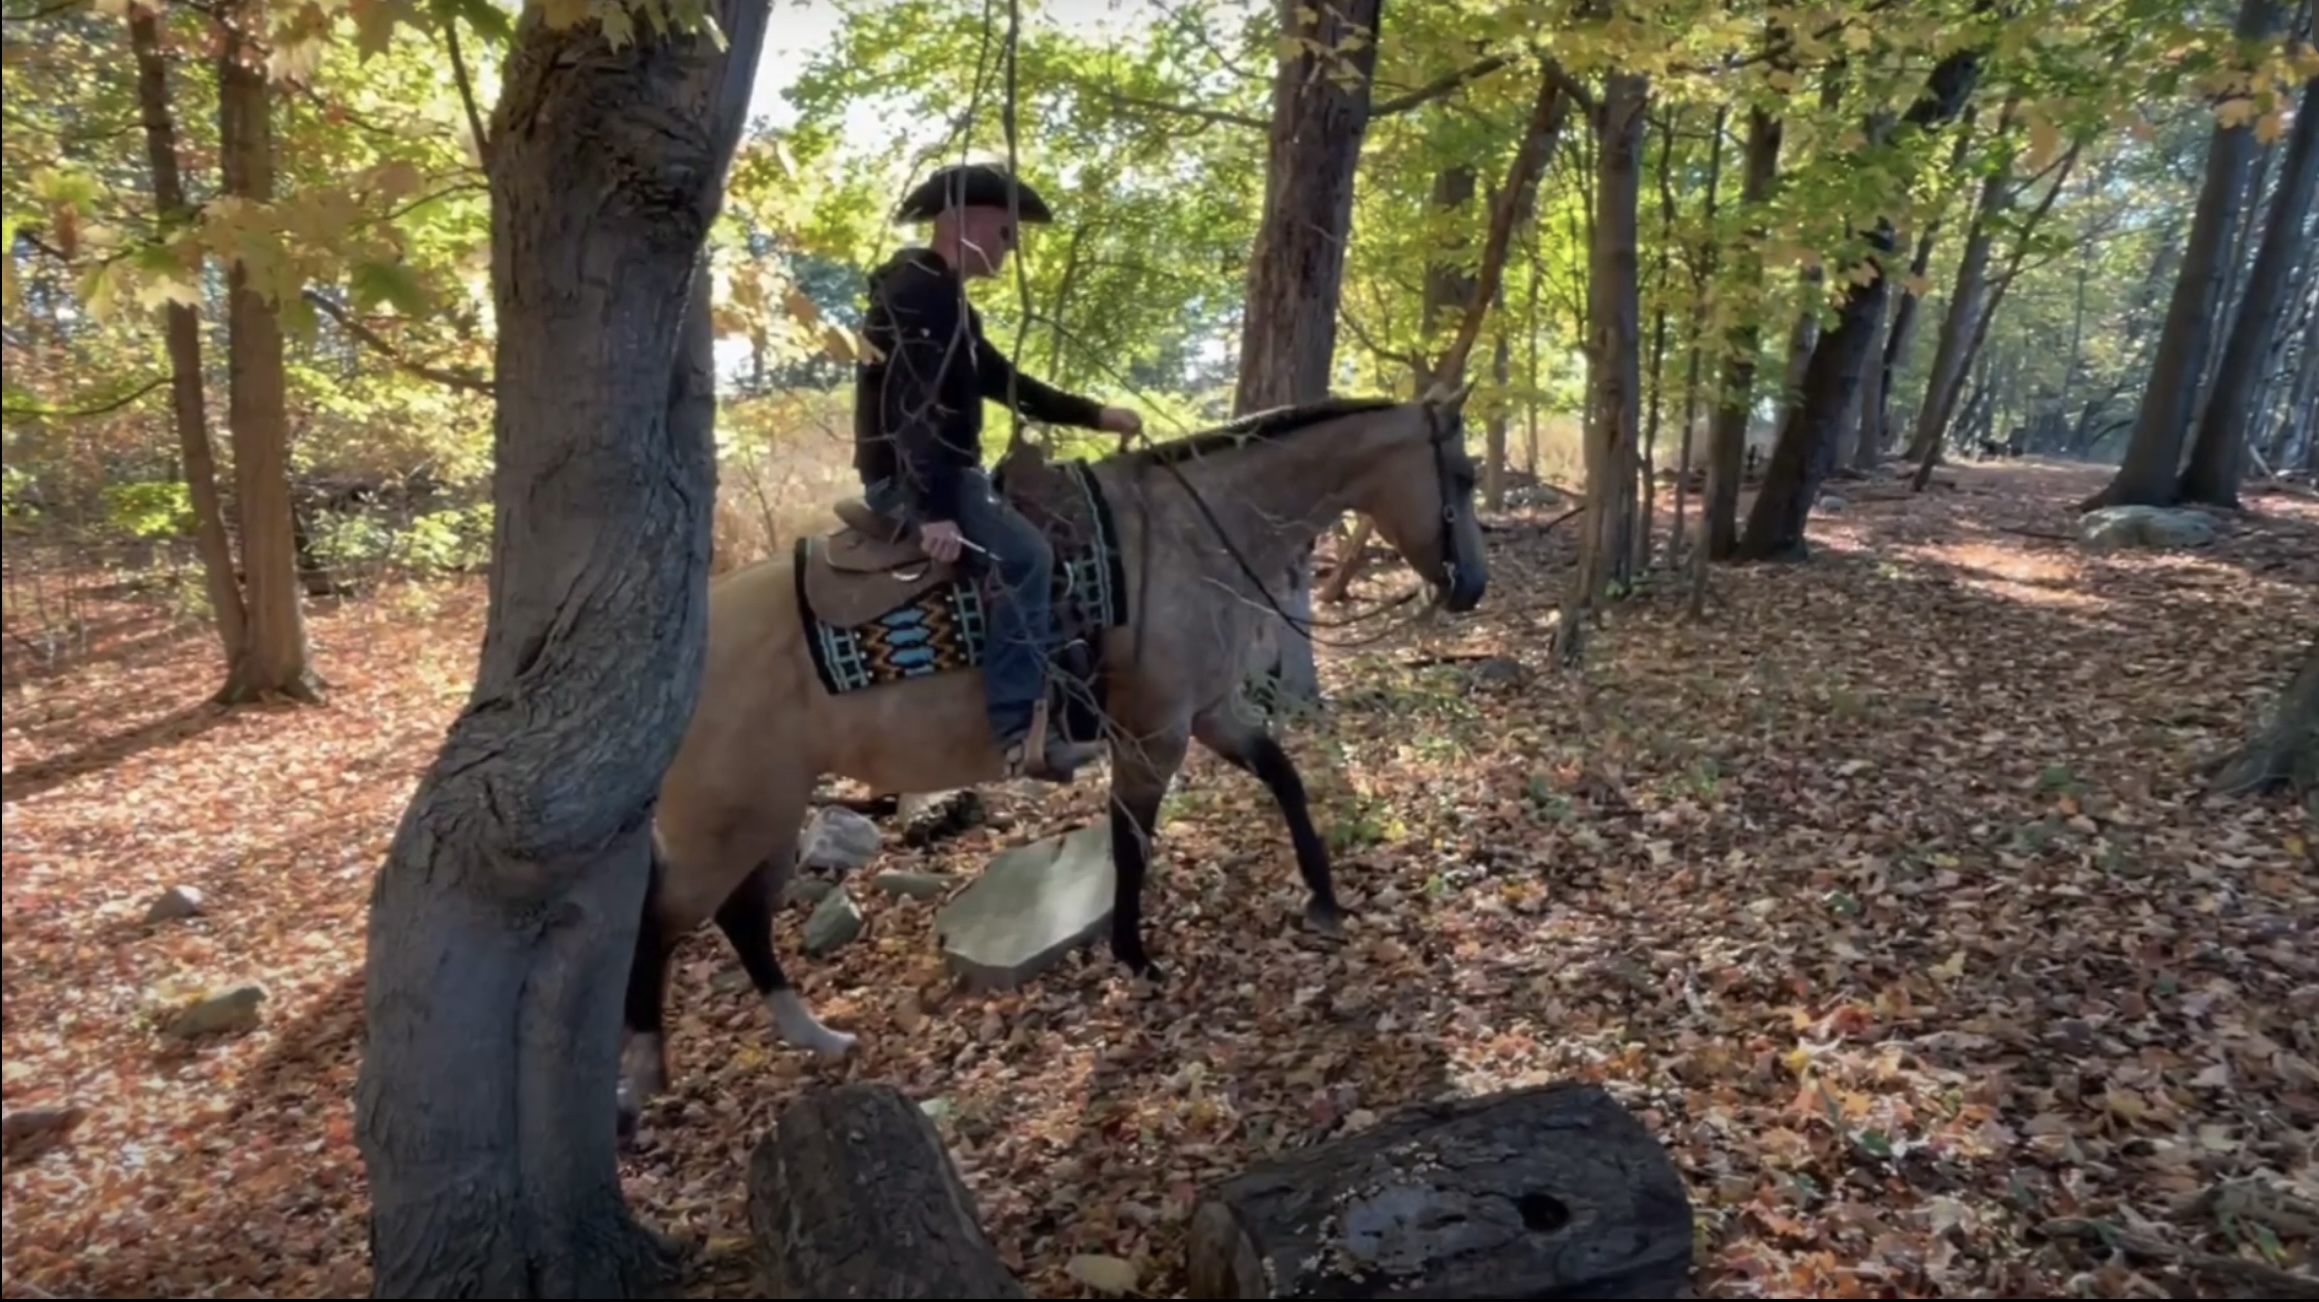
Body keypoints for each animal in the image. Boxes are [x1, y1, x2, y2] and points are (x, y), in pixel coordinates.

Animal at [618, 386, 1488, 1129]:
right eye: (1466, 475)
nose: (1472, 586)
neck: (1191, 534)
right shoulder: (1154, 735)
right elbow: (1131, 845)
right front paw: (1135, 958)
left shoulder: (1210, 713)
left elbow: (1284, 777)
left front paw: (1323, 900)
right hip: (729, 820)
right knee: (663, 918)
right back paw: (643, 1073)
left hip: (770, 812)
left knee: (741, 918)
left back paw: (816, 1037)